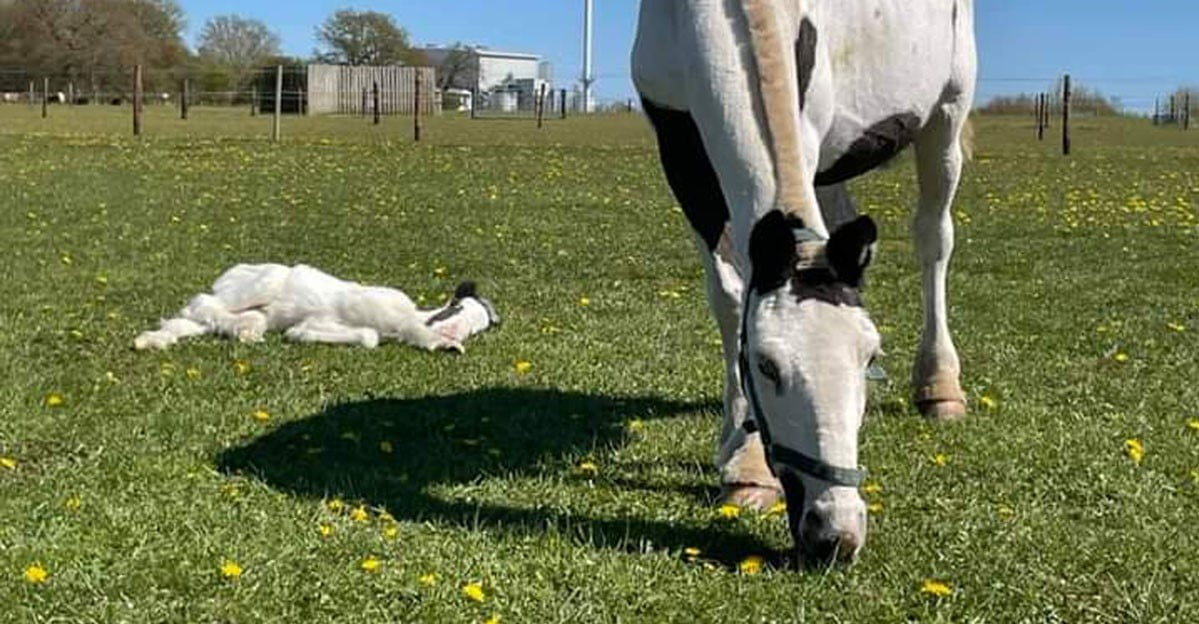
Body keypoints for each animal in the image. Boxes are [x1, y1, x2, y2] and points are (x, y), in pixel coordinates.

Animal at [134, 261, 496, 352]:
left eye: (477, 328)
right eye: (455, 308)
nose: (454, 333)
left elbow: (366, 337)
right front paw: (441, 343)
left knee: (189, 320)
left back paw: (150, 341)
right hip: (258, 284)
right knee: (202, 302)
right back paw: (243, 329)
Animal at [633, 0, 978, 564]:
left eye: (870, 356)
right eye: (765, 365)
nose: (837, 532)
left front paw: (749, 467)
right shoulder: (680, 154)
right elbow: (729, 297)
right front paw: (742, 457)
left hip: (948, 112)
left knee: (934, 238)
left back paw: (940, 386)